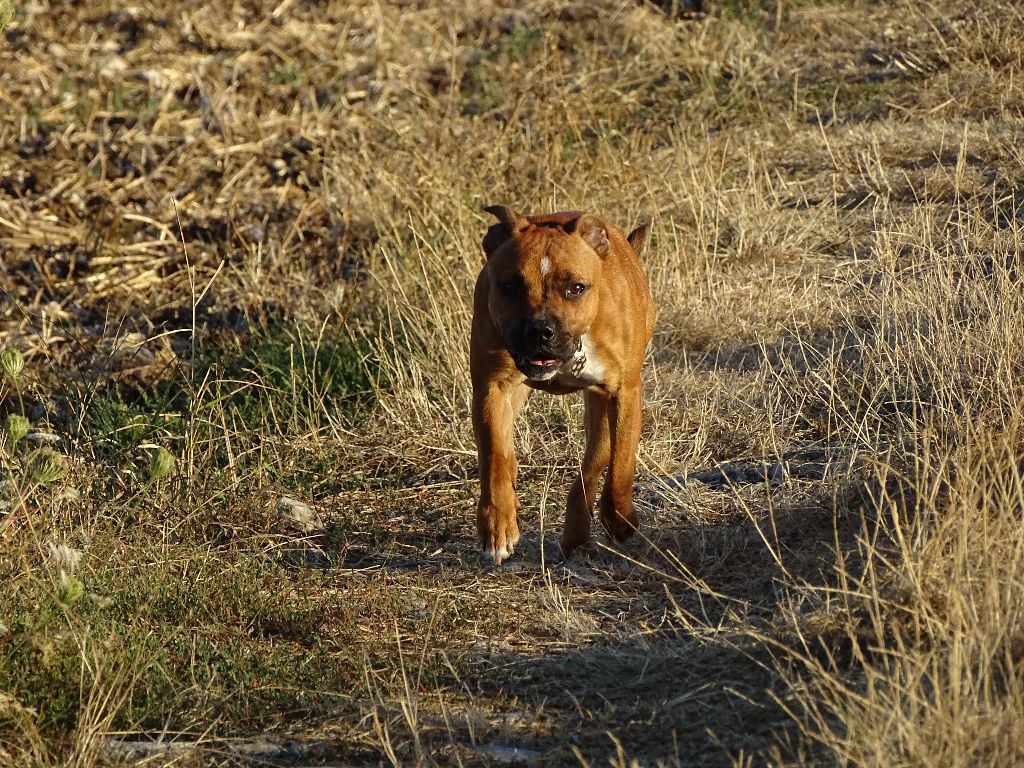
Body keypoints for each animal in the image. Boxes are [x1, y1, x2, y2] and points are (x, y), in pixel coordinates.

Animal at [471, 205, 655, 565]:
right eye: (511, 285)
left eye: (576, 288)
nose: (540, 330)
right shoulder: (491, 388)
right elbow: (495, 454)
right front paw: (498, 524)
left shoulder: (624, 393)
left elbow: (622, 461)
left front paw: (619, 517)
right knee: (507, 452)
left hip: (600, 405)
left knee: (594, 464)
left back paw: (578, 534)